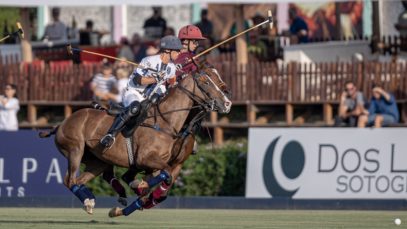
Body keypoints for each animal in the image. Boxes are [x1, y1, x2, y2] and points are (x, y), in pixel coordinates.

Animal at [41, 65, 233, 216]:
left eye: (217, 78)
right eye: (206, 81)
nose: (227, 103)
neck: (166, 122)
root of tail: (61, 123)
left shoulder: (166, 164)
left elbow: (162, 183)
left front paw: (137, 192)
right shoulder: (146, 158)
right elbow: (165, 174)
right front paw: (139, 186)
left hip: (97, 161)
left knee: (80, 180)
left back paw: (94, 200)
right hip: (75, 150)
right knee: (69, 180)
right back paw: (91, 200)